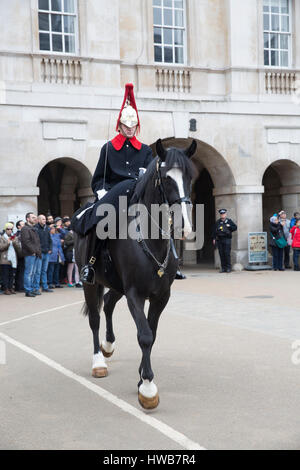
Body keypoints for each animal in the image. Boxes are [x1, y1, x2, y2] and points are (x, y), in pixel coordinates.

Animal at [74, 139, 197, 408]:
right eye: (166, 178)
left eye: (191, 176)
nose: (185, 227)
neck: (150, 239)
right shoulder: (135, 295)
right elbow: (145, 336)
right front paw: (148, 388)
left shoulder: (160, 296)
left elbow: (152, 333)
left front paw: (142, 379)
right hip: (91, 283)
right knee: (95, 318)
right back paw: (98, 361)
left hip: (116, 284)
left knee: (108, 303)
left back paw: (108, 345)